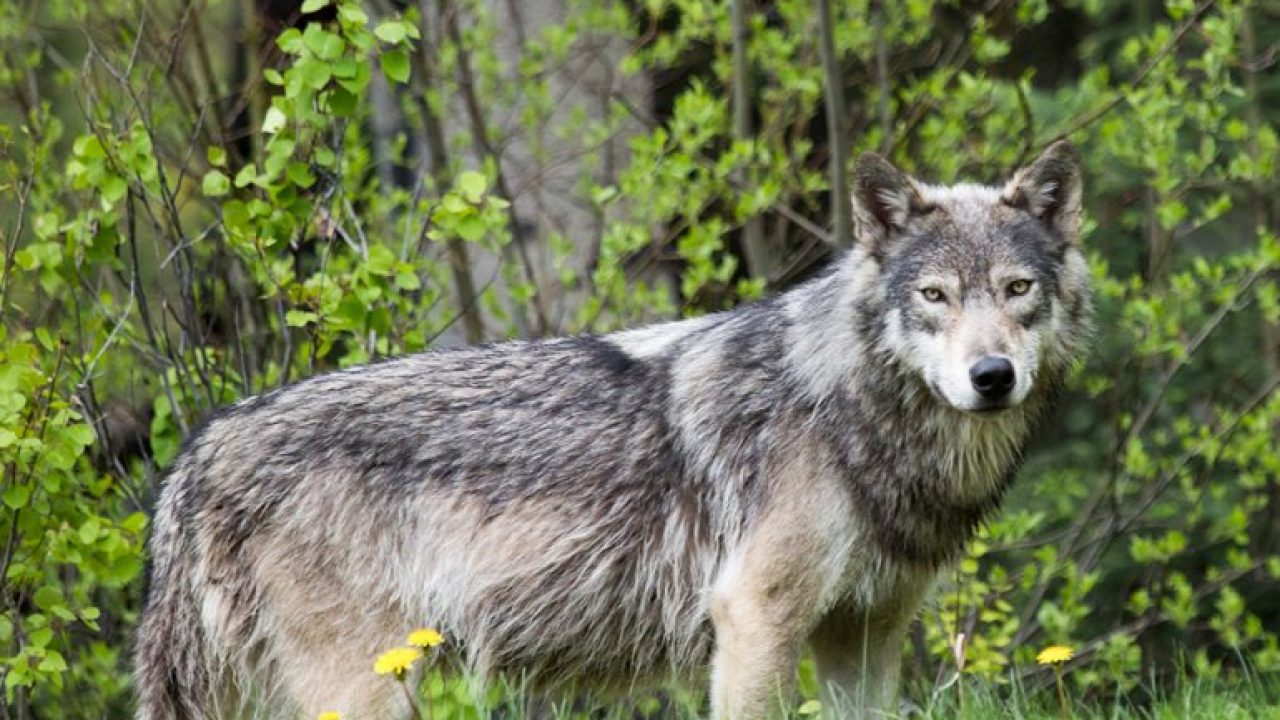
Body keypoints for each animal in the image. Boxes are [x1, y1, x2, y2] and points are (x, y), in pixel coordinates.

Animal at [135, 141, 1085, 717]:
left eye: (1016, 290)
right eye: (935, 296)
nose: (991, 377)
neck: (850, 409)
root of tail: (201, 451)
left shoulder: (866, 631)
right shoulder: (756, 619)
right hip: (365, 685)